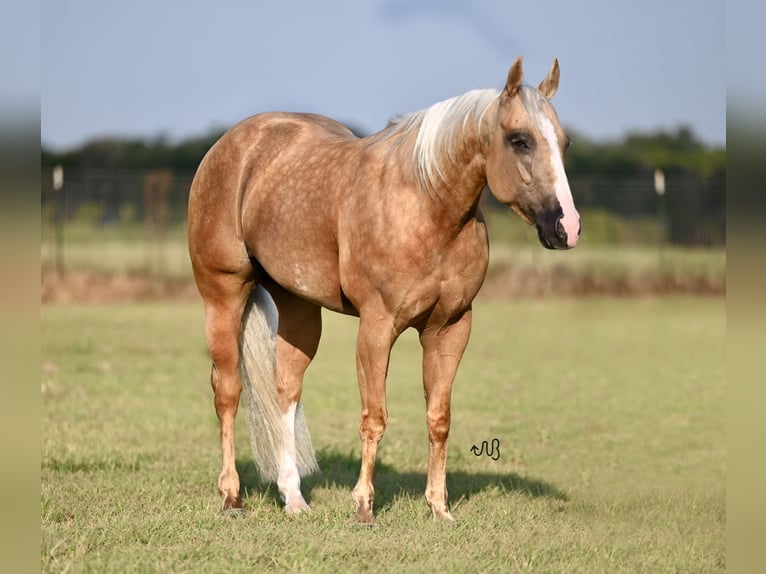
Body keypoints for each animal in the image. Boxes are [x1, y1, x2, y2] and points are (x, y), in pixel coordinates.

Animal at [190, 57, 584, 528]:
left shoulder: (450, 328)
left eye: (563, 142)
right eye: (519, 140)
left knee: (286, 387)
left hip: (298, 305)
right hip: (223, 294)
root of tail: (233, 143)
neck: (426, 206)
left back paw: (294, 498)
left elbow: (439, 418)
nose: (567, 228)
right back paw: (232, 497)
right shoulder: (377, 327)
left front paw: (439, 509)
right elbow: (374, 417)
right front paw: (363, 507)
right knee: (227, 391)